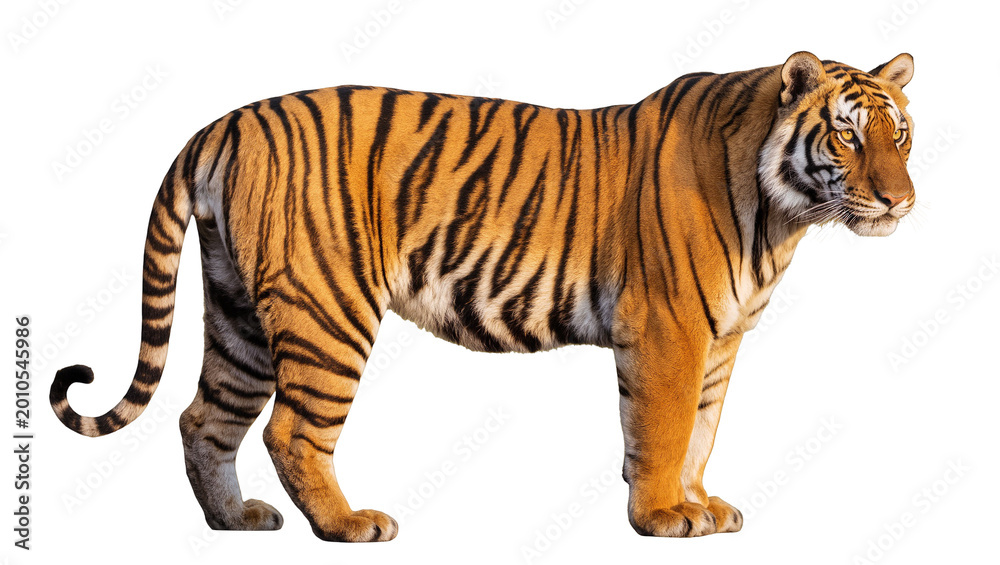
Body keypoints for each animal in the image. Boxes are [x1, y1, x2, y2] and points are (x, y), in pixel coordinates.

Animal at [50, 51, 915, 541]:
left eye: (898, 133)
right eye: (846, 134)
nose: (901, 201)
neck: (782, 217)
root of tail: (224, 123)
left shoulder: (720, 339)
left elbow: (702, 429)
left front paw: (702, 503)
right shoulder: (669, 329)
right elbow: (665, 430)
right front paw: (664, 516)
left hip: (238, 311)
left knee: (204, 417)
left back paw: (234, 520)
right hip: (327, 308)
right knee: (291, 428)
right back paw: (348, 524)